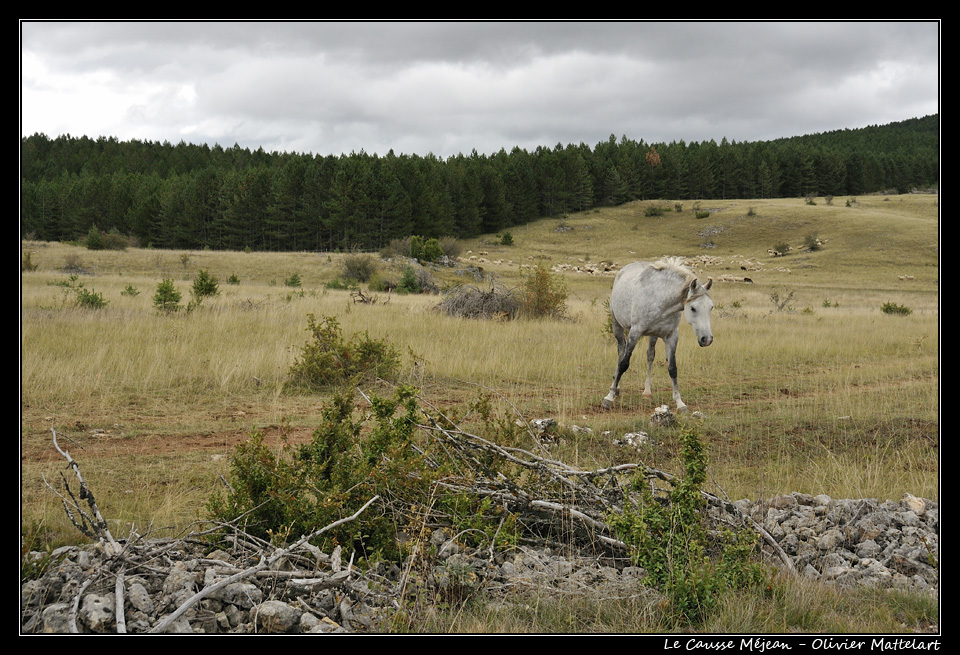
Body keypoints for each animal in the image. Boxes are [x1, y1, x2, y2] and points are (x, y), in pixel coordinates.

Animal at [600, 256, 712, 410]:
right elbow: (624, 364)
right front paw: (609, 398)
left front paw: (680, 403)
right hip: (617, 326)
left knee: (650, 356)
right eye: (693, 308)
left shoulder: (671, 336)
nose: (707, 339)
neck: (660, 300)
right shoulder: (635, 332)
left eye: (711, 307)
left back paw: (647, 391)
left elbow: (672, 368)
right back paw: (616, 388)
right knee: (620, 353)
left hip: (653, 335)